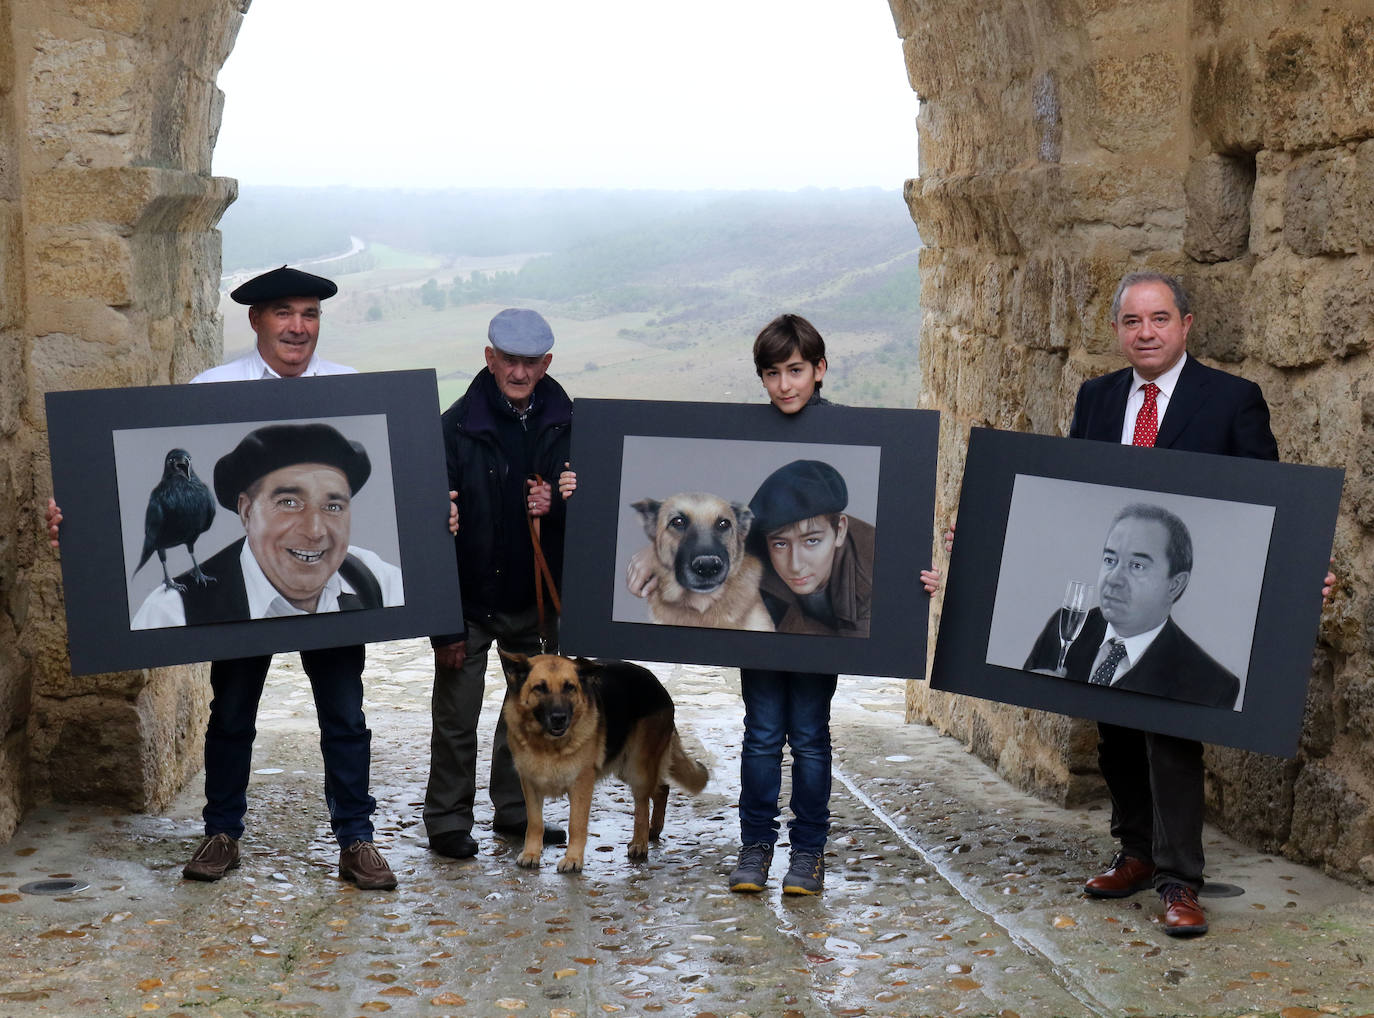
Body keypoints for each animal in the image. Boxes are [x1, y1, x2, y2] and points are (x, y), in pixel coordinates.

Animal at [500, 651, 708, 873]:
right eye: (539, 688)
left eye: (569, 687)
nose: (559, 718)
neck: (548, 745)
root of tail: (658, 685)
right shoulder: (530, 785)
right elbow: (535, 822)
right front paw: (531, 853)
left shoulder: (581, 784)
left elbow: (576, 824)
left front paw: (573, 859)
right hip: (624, 766)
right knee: (662, 789)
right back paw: (654, 830)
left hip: (637, 768)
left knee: (642, 805)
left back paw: (640, 843)